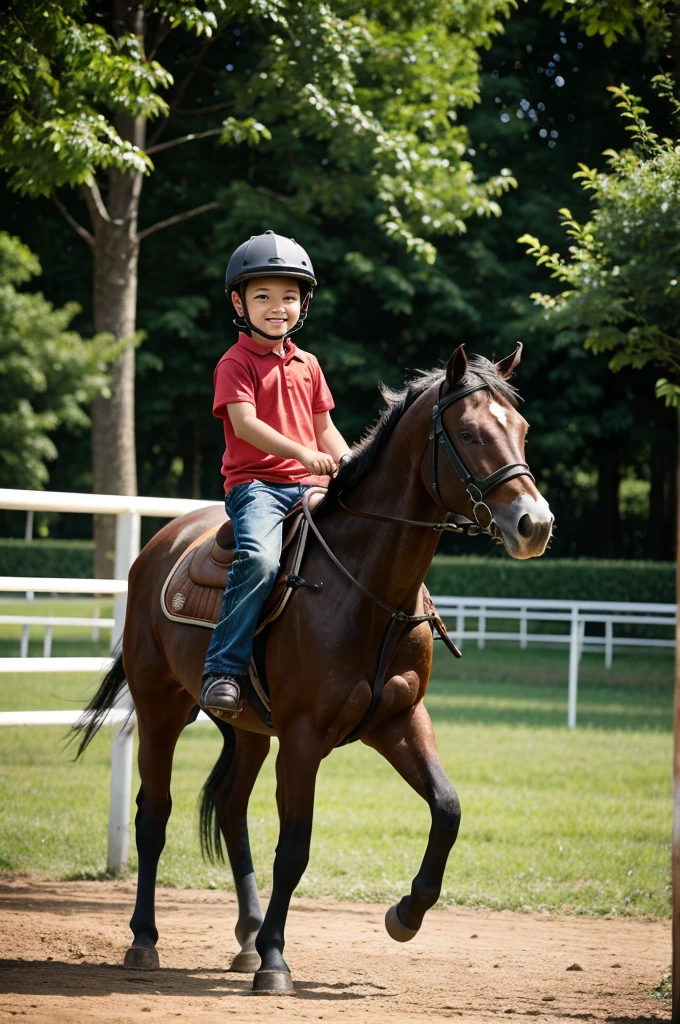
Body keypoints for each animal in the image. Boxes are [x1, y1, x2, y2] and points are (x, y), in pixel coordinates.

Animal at [74, 342, 553, 991]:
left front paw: (405, 914)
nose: (535, 524)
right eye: (471, 432)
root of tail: (158, 547)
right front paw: (276, 960)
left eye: (521, 429)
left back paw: (247, 935)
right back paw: (146, 939)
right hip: (160, 709)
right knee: (154, 816)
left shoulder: (400, 721)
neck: (368, 589)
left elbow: (448, 809)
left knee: (231, 808)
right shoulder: (303, 738)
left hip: (246, 729)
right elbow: (295, 848)